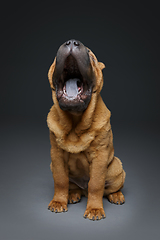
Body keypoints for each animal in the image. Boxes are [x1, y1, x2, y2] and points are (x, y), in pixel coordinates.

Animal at [47, 39, 125, 221]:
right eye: (56, 56)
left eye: (91, 55)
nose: (71, 42)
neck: (75, 120)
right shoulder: (56, 155)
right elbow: (60, 180)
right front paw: (58, 202)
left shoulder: (100, 155)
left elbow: (96, 185)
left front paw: (95, 209)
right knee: (73, 186)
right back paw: (73, 194)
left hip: (116, 168)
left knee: (107, 189)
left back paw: (116, 195)